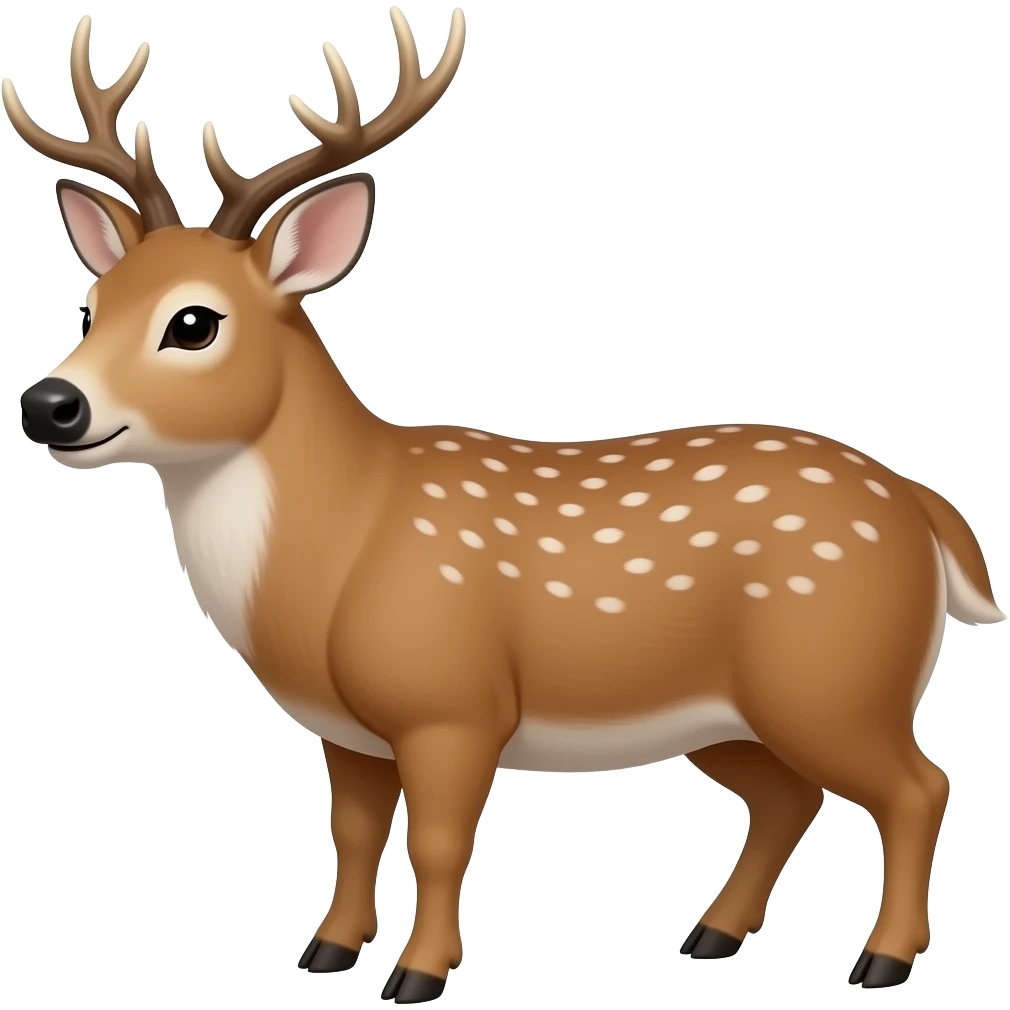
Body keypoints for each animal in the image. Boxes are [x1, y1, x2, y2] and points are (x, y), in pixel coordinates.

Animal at [6, 11, 1004, 1001]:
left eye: (194, 322)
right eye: (92, 302)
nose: (50, 405)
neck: (336, 551)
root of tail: (922, 504)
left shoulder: (453, 700)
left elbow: (442, 844)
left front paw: (418, 974)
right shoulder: (346, 731)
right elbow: (353, 834)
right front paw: (327, 951)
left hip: (836, 676)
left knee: (919, 786)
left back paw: (881, 960)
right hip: (732, 710)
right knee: (791, 795)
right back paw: (711, 935)